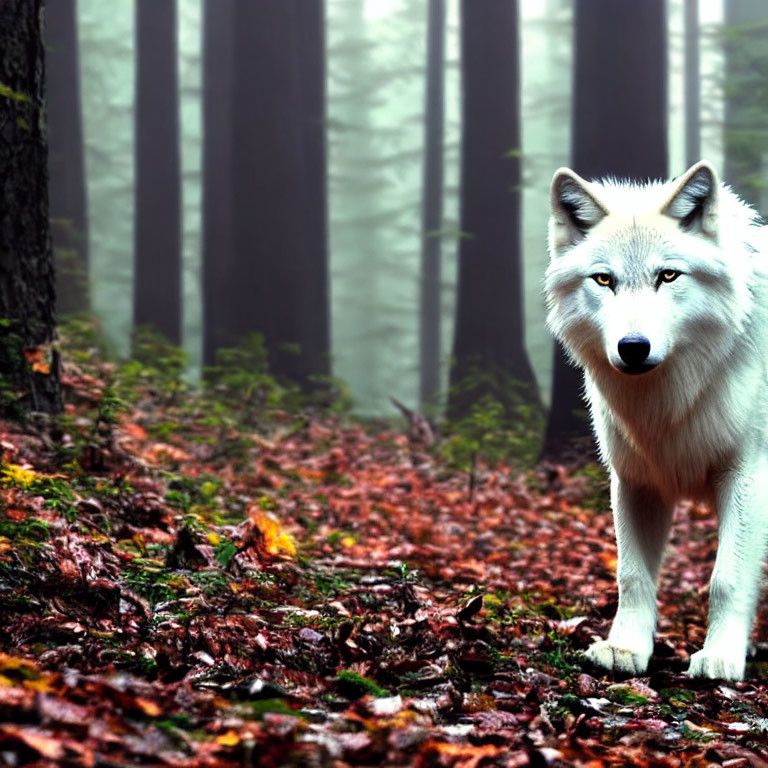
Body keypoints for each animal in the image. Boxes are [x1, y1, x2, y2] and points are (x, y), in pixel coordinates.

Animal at [544, 160, 768, 680]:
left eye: (668, 275)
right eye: (603, 280)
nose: (633, 347)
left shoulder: (748, 474)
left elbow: (726, 578)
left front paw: (721, 657)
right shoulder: (635, 479)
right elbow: (632, 576)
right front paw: (625, 648)